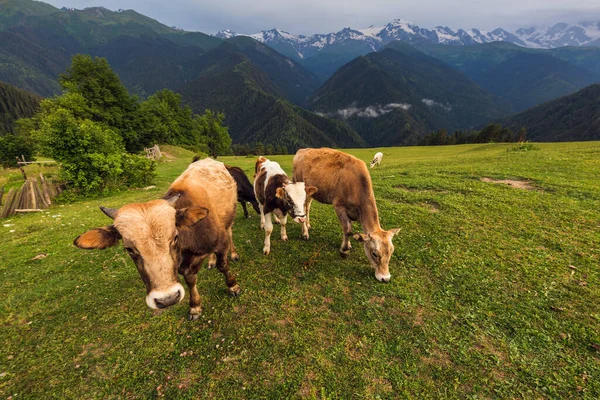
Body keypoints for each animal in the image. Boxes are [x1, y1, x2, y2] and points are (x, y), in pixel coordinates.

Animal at [74, 158, 241, 320]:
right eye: (129, 249)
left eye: (175, 237)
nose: (167, 299)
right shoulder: (183, 266)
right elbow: (190, 280)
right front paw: (195, 306)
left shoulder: (221, 243)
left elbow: (223, 265)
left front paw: (233, 286)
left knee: (230, 232)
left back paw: (233, 253)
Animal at [292, 147, 400, 282]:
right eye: (374, 253)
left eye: (391, 252)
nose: (385, 278)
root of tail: (302, 150)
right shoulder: (339, 206)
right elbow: (347, 229)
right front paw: (344, 250)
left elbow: (350, 228)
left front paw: (348, 244)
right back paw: (305, 233)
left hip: (311, 191)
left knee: (307, 207)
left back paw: (308, 225)